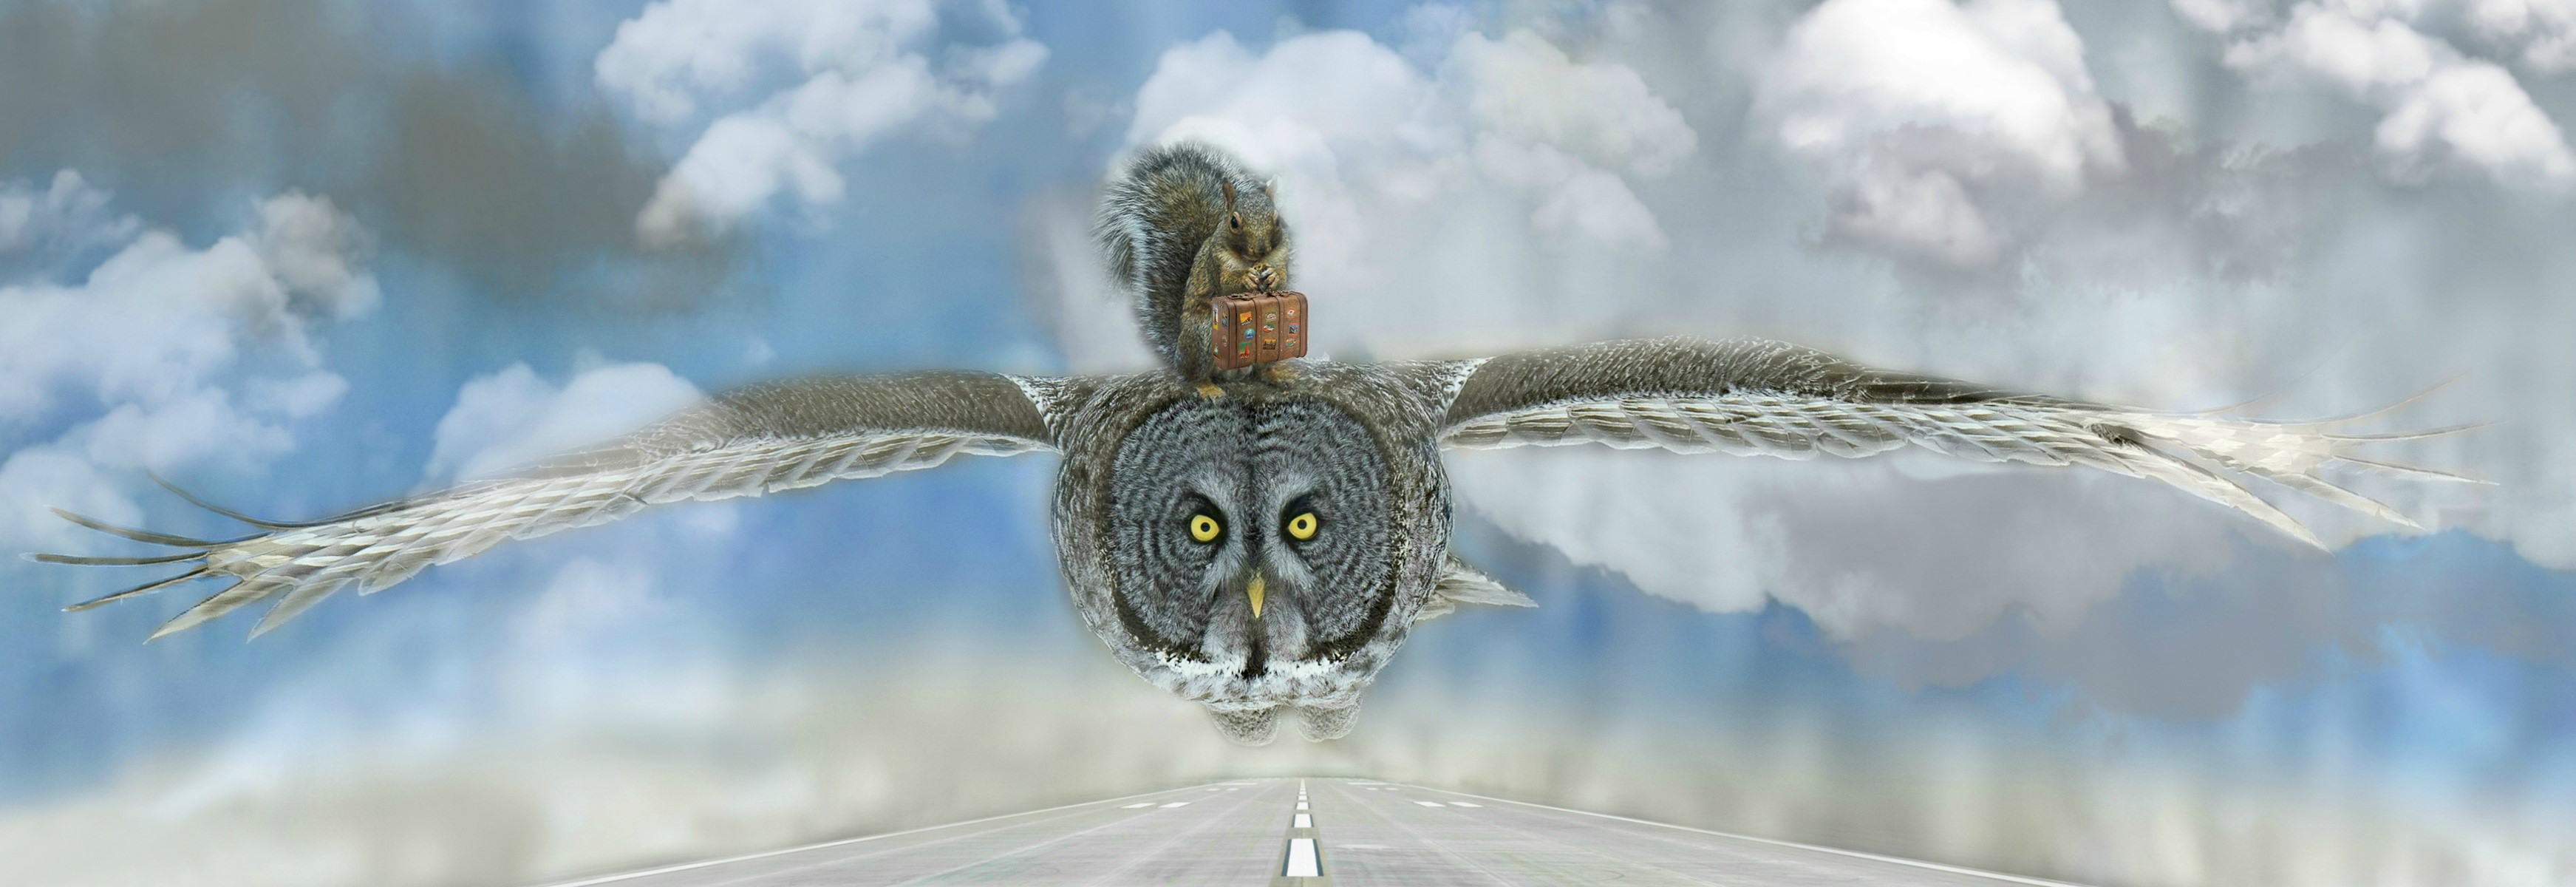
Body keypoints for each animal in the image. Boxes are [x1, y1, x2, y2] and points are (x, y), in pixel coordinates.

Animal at [1095, 142, 1292, 395]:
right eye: (1234, 222)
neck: (1249, 260)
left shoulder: (1281, 255)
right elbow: (1225, 285)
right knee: (1196, 374)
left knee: (1261, 369)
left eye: (1277, 219)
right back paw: (1207, 388)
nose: (1260, 249)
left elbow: (1282, 282)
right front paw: (1245, 278)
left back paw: (1274, 374)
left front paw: (1273, 276)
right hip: (1201, 335)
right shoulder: (1213, 262)